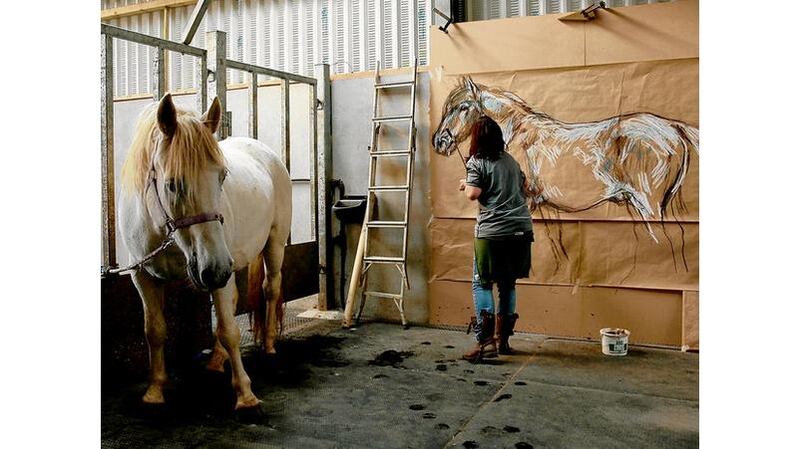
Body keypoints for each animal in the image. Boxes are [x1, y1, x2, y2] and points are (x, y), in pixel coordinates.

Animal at [117, 94, 292, 410]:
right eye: (172, 185)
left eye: (222, 177)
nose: (217, 269)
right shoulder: (143, 277)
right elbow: (155, 330)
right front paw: (155, 390)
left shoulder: (218, 269)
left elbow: (229, 330)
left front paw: (245, 394)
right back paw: (216, 360)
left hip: (272, 244)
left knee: (270, 289)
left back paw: (270, 345)